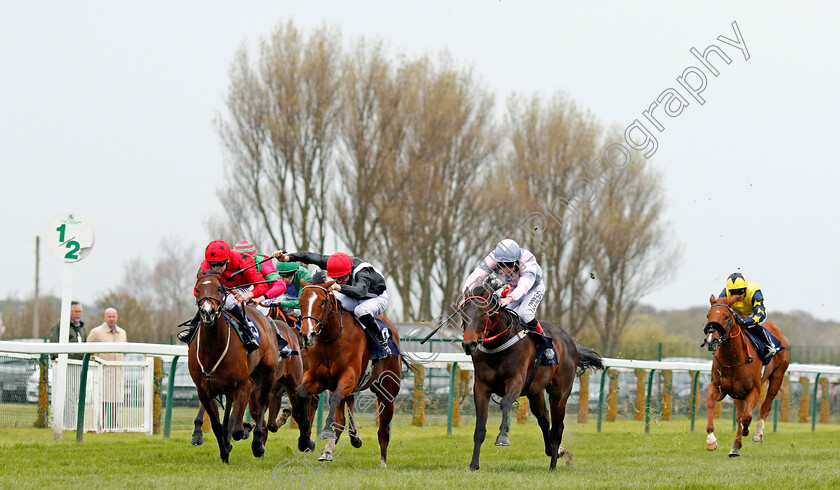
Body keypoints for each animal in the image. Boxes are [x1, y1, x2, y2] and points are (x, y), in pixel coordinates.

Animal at [296, 280, 404, 468]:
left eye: (322, 302)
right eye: (300, 302)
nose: (306, 334)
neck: (331, 339)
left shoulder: (349, 377)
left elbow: (335, 402)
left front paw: (326, 431)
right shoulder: (318, 378)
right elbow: (302, 393)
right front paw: (304, 440)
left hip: (387, 392)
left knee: (383, 429)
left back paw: (383, 462)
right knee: (342, 415)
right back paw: (329, 450)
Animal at [460, 284, 604, 470]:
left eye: (484, 313)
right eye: (463, 313)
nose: (469, 344)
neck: (498, 344)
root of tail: (570, 341)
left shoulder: (516, 380)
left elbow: (505, 403)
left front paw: (502, 437)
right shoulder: (481, 386)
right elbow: (479, 428)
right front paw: (474, 465)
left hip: (560, 392)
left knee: (557, 427)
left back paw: (553, 464)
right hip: (535, 392)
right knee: (544, 419)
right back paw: (553, 451)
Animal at [700, 292, 792, 458]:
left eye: (727, 317)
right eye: (708, 315)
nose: (711, 340)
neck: (732, 359)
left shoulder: (754, 390)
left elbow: (747, 417)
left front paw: (748, 430)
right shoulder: (719, 388)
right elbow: (710, 402)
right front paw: (711, 441)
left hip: (777, 376)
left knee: (765, 406)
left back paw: (757, 433)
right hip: (738, 394)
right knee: (739, 417)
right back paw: (735, 448)